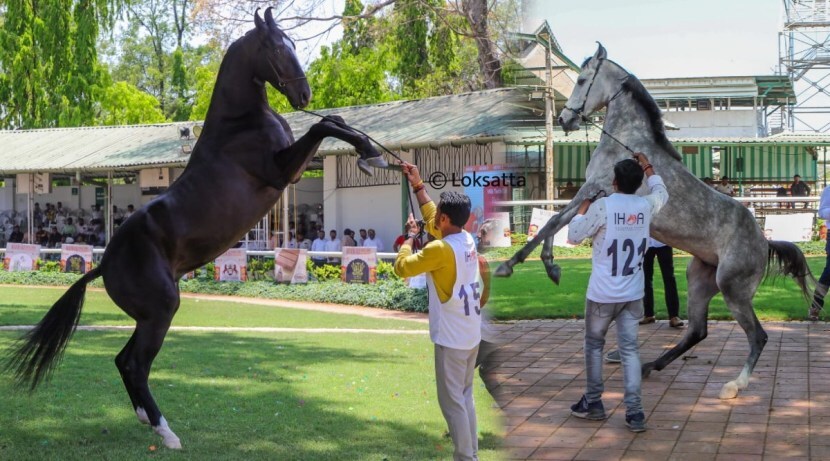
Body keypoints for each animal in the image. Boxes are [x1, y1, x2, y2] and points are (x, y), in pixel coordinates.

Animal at [4, 9, 388, 448]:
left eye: (292, 43)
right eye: (276, 48)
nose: (304, 95)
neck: (239, 126)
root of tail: (104, 263)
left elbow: (332, 121)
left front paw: (370, 154)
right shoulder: (281, 173)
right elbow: (323, 127)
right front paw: (372, 155)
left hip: (148, 315)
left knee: (123, 360)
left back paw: (146, 418)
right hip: (161, 310)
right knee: (135, 364)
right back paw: (166, 431)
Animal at [494, 45, 812, 400]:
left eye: (581, 80)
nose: (565, 119)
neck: (628, 143)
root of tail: (764, 242)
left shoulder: (593, 189)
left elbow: (553, 222)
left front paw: (512, 265)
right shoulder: (594, 193)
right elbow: (556, 221)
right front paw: (551, 268)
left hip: (733, 289)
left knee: (757, 335)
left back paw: (733, 385)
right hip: (700, 280)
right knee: (697, 331)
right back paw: (649, 366)